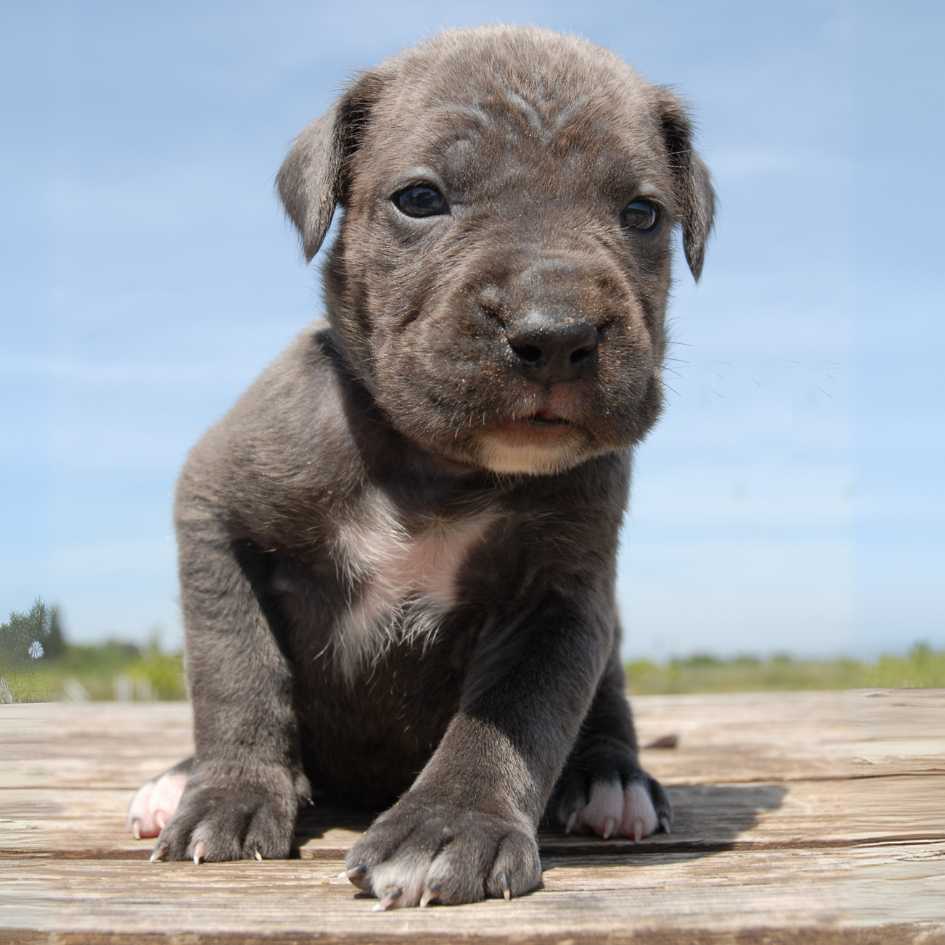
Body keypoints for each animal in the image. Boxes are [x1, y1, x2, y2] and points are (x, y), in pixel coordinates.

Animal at [127, 24, 716, 908]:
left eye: (642, 214)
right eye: (420, 199)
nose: (555, 332)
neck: (438, 466)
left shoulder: (559, 599)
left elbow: (514, 713)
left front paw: (449, 825)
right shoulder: (215, 512)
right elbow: (237, 668)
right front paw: (230, 790)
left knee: (607, 710)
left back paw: (612, 781)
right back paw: (179, 779)